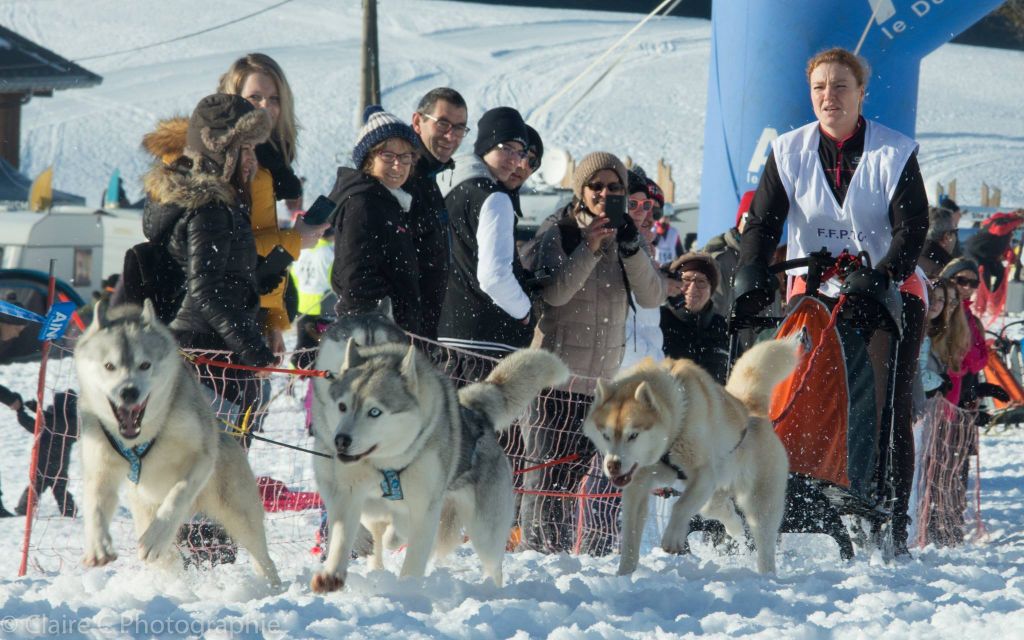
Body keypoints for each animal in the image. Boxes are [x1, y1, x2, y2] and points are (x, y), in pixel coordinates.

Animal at [71, 299, 280, 585]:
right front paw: (97, 546)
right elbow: (95, 505)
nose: (128, 392)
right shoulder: (100, 466)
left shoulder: (202, 457)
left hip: (239, 514)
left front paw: (156, 536)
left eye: (145, 365)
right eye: (109, 366)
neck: (144, 437)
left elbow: (178, 493)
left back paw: (272, 586)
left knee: (263, 557)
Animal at [311, 337, 569, 589]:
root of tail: (476, 414)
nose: (341, 440)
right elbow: (342, 532)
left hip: (485, 531)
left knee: (493, 566)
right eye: (342, 406)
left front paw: (406, 590)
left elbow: (411, 550)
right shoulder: (346, 490)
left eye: (374, 411)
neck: (386, 466)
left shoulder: (424, 507)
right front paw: (332, 574)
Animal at [585, 339, 790, 573]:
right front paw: (624, 575)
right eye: (606, 435)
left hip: (759, 503)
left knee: (764, 540)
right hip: (713, 492)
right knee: (719, 508)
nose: (613, 465)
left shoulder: (703, 474)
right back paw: (735, 526)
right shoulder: (637, 486)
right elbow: (630, 536)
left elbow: (680, 507)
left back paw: (767, 573)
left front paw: (672, 538)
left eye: (633, 435)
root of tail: (751, 409)